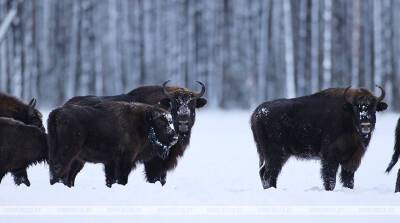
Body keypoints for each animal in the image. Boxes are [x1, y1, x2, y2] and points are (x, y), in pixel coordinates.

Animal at [47, 102, 178, 187]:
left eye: (170, 122)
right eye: (161, 123)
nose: (175, 137)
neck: (142, 122)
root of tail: (57, 112)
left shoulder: (111, 161)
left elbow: (111, 179)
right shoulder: (126, 159)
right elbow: (122, 178)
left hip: (77, 159)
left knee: (67, 175)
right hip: (69, 152)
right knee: (59, 169)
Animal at [252, 86, 386, 191]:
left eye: (374, 108)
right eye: (356, 108)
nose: (365, 125)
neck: (348, 116)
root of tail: (256, 113)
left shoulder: (352, 159)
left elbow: (349, 180)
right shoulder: (331, 157)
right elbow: (330, 178)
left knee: (265, 173)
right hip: (276, 154)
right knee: (268, 174)